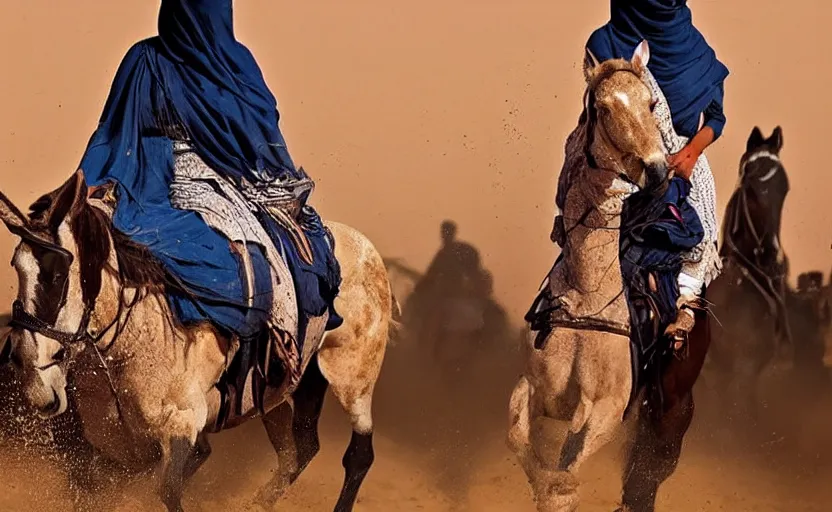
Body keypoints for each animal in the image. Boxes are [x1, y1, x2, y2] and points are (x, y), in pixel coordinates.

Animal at [0, 172, 396, 512]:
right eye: (17, 267)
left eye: (56, 275)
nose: (32, 374)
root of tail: (366, 249)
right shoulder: (104, 445)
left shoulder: (182, 428)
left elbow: (168, 490)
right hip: (285, 392)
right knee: (298, 450)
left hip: (353, 377)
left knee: (359, 453)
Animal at [508, 41, 708, 512]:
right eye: (601, 108)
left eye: (651, 103)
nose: (657, 170)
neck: (587, 296)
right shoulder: (537, 391)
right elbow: (527, 450)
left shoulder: (606, 412)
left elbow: (564, 480)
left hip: (672, 409)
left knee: (654, 463)